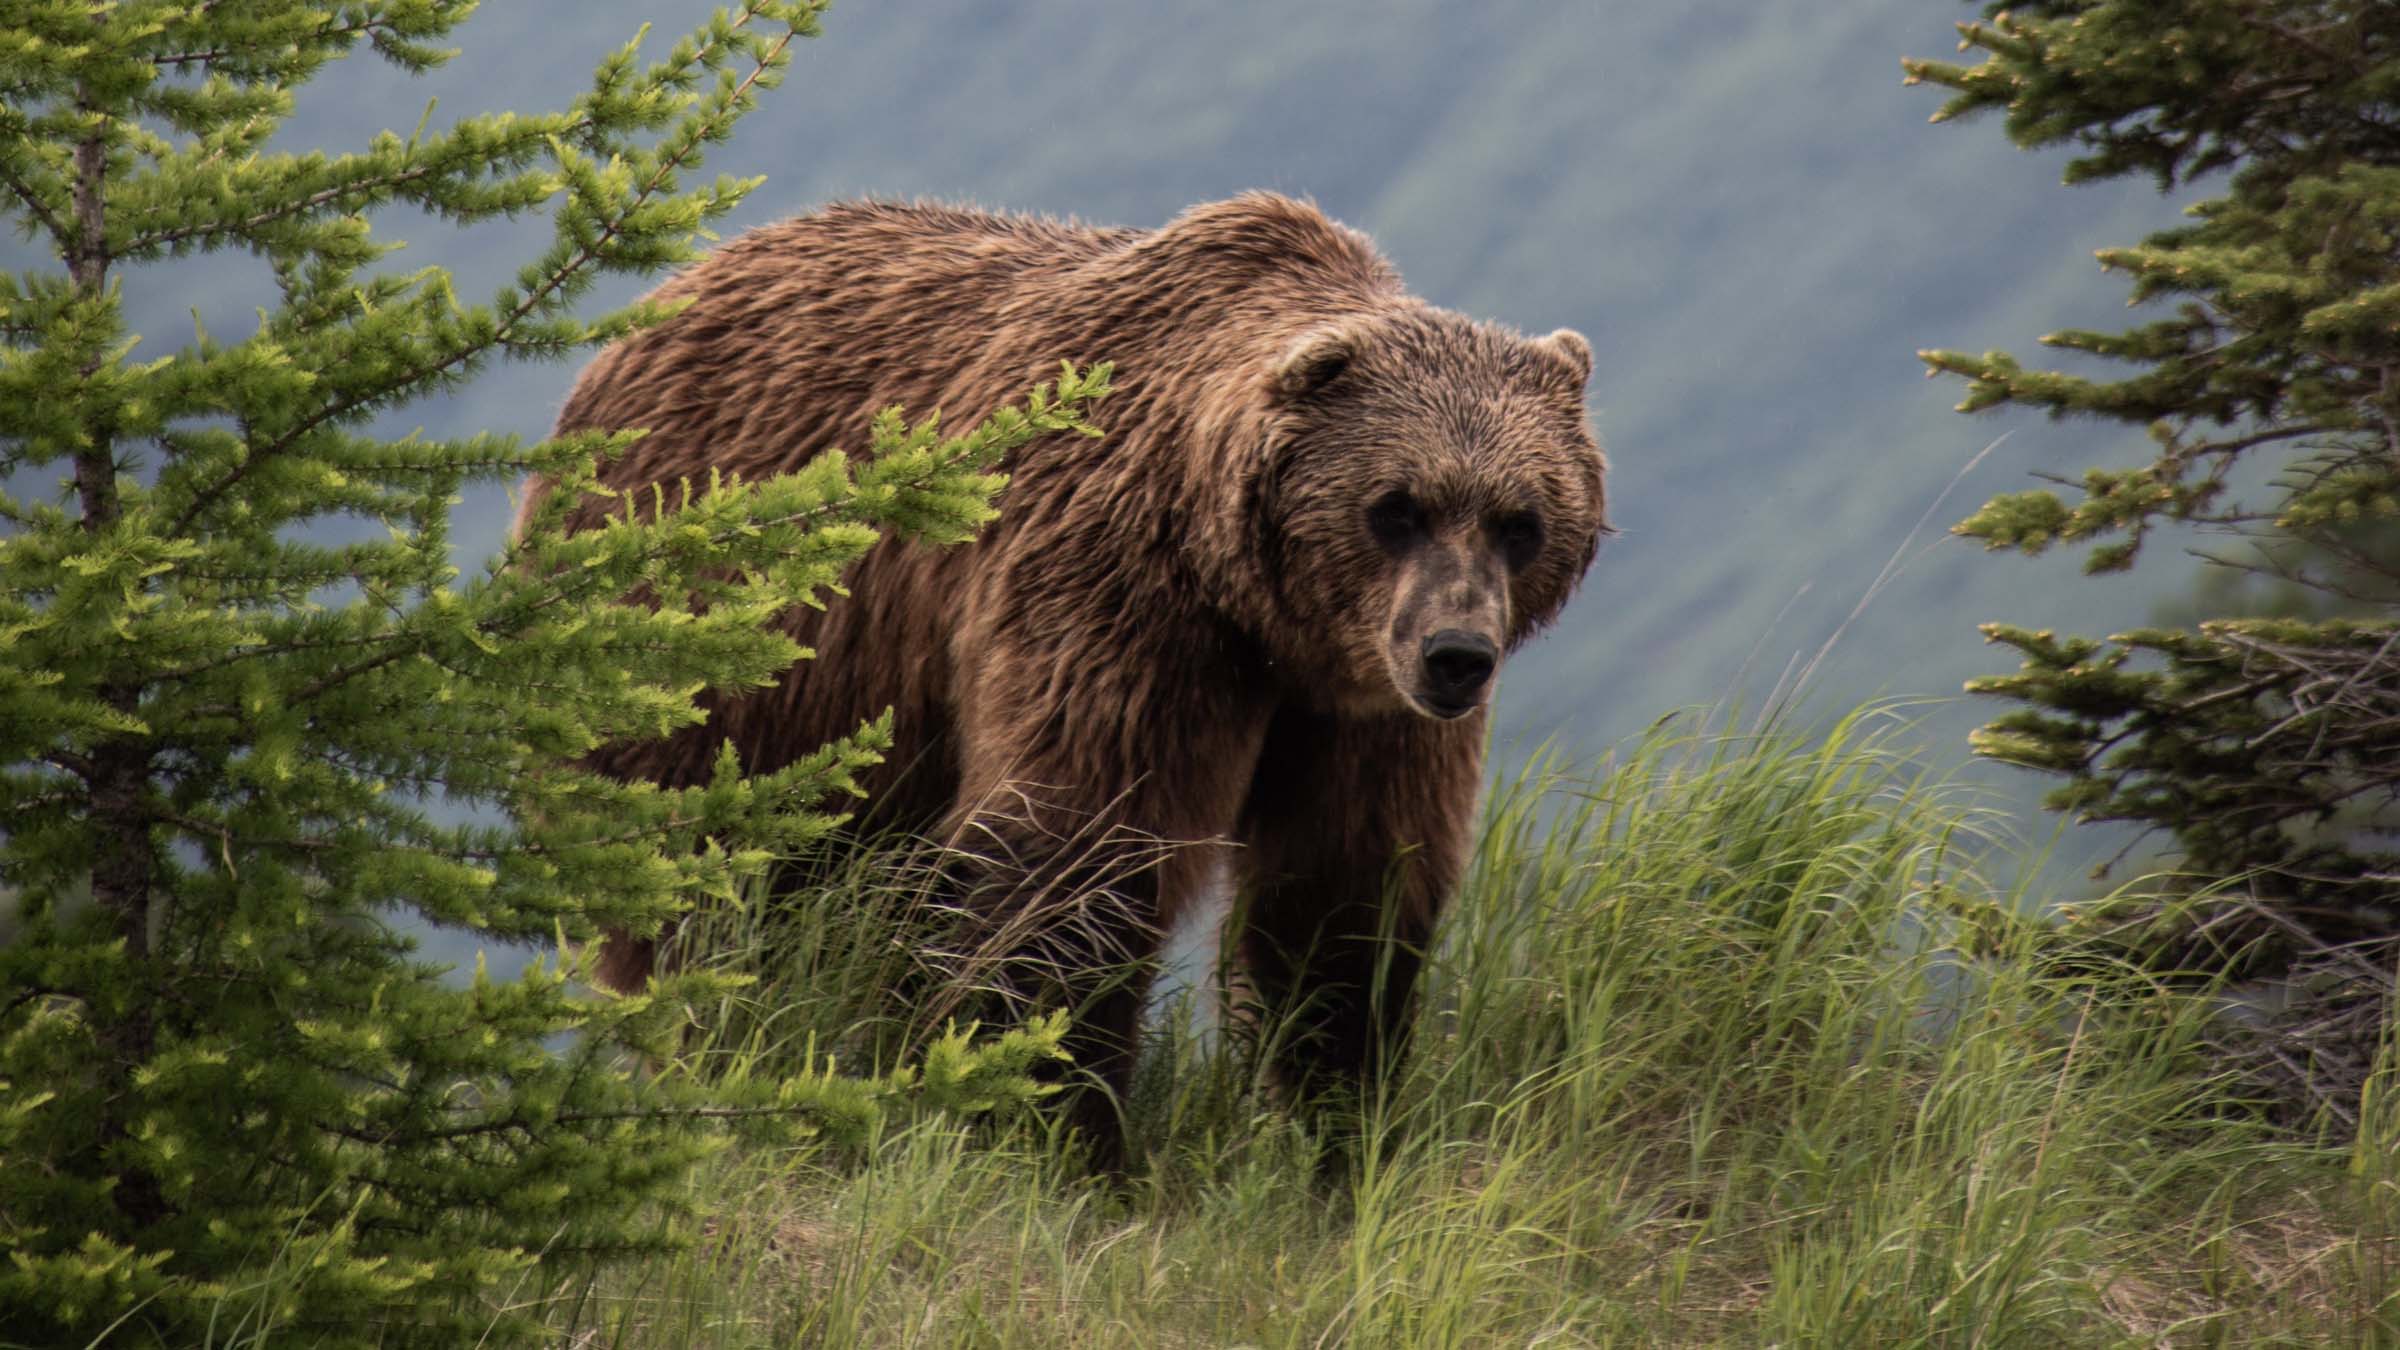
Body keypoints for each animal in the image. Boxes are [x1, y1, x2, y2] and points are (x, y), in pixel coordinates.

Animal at [520, 192, 1609, 1166]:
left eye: (1521, 520)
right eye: (1397, 506)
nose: (1457, 654)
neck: (1254, 607)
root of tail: (660, 300)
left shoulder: (1358, 705)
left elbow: (1344, 893)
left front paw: (1333, 1126)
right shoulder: (1116, 601)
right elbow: (1074, 853)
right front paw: (1057, 1132)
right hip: (721, 655)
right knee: (709, 890)